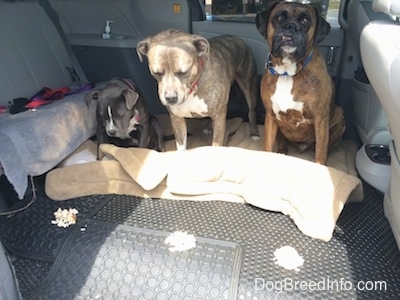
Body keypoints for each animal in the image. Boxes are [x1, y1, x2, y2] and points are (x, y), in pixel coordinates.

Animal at [258, 0, 346, 164]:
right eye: (279, 18)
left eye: (305, 21)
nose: (292, 26)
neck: (287, 72)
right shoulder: (271, 116)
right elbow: (267, 146)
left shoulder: (320, 119)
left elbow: (321, 152)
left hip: (339, 117)